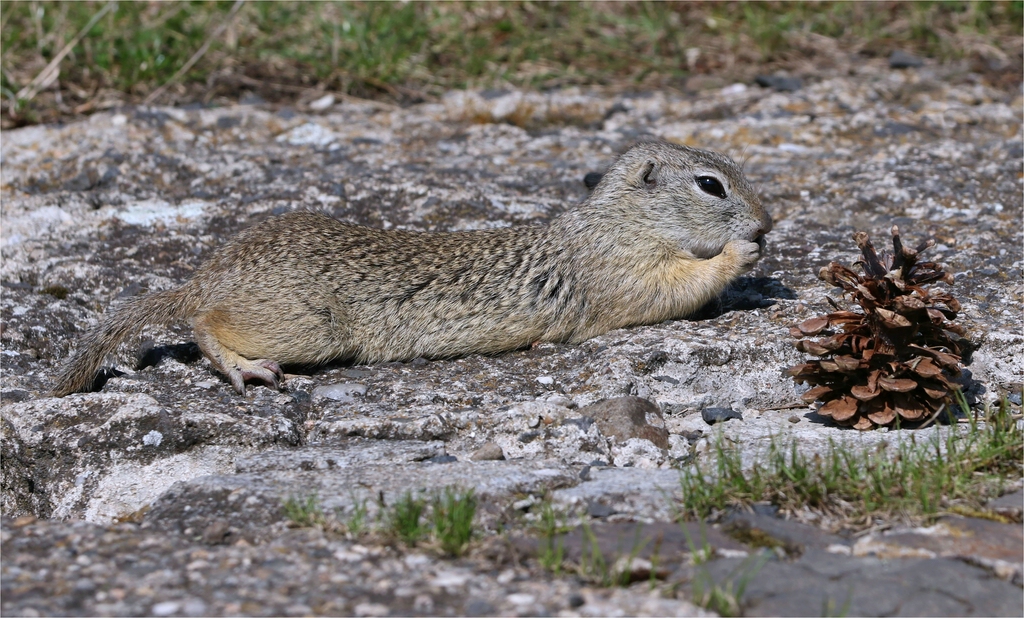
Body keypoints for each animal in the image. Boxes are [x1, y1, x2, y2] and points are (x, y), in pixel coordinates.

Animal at [51, 141, 770, 394]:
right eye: (710, 184)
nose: (767, 223)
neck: (620, 220)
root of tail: (213, 271)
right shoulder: (621, 276)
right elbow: (673, 289)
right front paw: (740, 255)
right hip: (308, 326)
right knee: (205, 322)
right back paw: (242, 367)